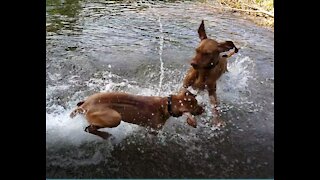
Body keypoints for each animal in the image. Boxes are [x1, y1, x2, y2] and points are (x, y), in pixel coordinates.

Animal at [70, 89, 205, 139]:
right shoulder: (154, 130)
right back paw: (107, 136)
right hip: (115, 118)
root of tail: (84, 105)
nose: (203, 109)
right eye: (196, 105)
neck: (167, 105)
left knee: (90, 128)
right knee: (90, 128)